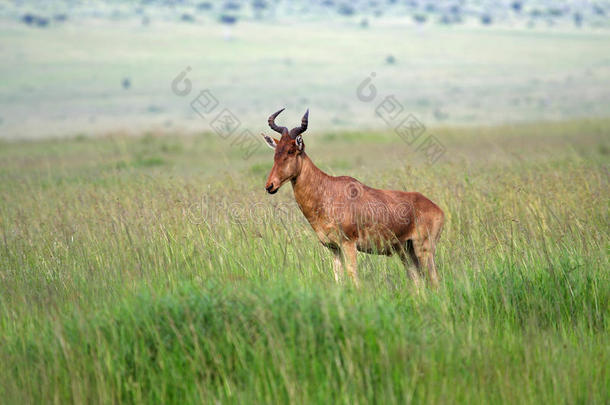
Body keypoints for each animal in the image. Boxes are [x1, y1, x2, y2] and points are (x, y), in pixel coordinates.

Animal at [262, 107, 442, 288]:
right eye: (276, 152)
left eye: (291, 151)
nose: (270, 186)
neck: (328, 191)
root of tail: (438, 210)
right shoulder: (334, 248)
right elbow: (338, 278)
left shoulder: (349, 244)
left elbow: (353, 276)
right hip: (406, 251)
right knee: (418, 282)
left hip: (424, 249)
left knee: (435, 281)